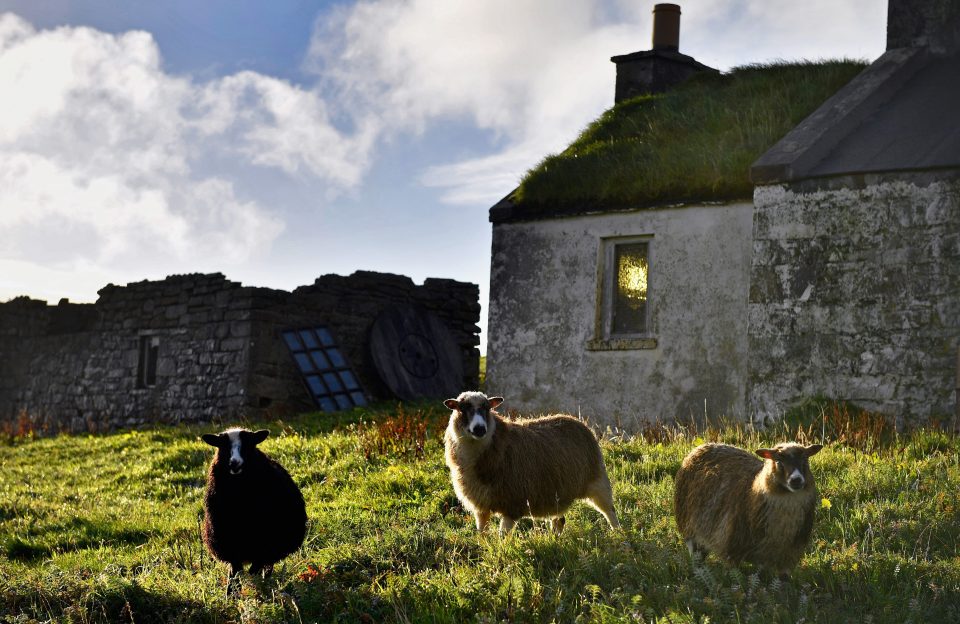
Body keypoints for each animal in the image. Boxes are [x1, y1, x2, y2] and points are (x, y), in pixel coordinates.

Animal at [201, 428, 306, 596]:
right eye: (223, 446)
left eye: (248, 445)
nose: (235, 463)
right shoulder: (229, 541)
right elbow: (235, 571)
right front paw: (231, 595)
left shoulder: (264, 542)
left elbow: (255, 568)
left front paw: (254, 586)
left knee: (267, 566)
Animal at [444, 392, 624, 532]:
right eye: (461, 408)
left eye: (487, 408)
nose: (480, 429)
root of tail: (576, 420)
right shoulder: (481, 507)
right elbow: (481, 532)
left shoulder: (512, 504)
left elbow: (503, 535)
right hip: (559, 491)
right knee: (559, 520)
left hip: (597, 479)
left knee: (610, 512)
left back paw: (619, 536)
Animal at [672, 442, 820, 576]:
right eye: (778, 461)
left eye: (805, 460)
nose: (796, 480)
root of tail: (703, 446)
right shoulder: (732, 550)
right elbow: (737, 579)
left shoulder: (787, 556)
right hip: (688, 526)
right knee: (697, 556)